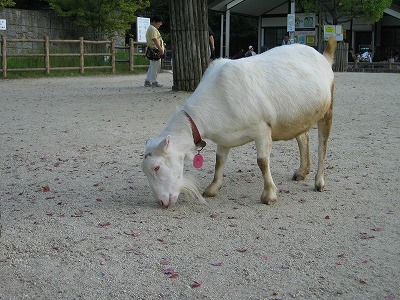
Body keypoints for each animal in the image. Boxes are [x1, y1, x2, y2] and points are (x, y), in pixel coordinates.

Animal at [142, 37, 336, 206]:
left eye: (156, 167)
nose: (162, 202)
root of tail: (322, 58)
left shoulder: (262, 129)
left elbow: (262, 161)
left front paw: (269, 195)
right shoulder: (224, 137)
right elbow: (219, 160)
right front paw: (212, 188)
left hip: (327, 109)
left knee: (323, 145)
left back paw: (319, 182)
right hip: (298, 116)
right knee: (303, 138)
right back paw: (301, 172)